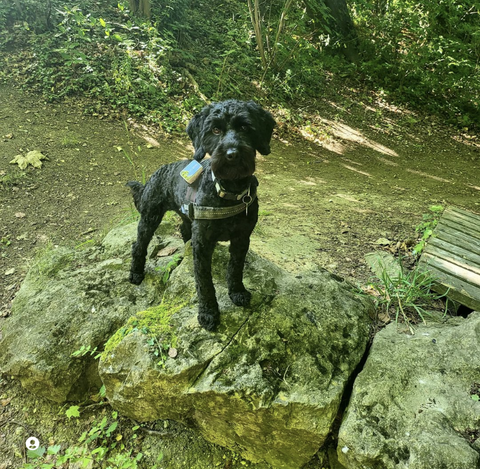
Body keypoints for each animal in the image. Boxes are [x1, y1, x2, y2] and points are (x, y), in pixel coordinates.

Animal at [125, 100, 276, 330]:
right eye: (215, 130)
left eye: (245, 127)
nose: (232, 154)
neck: (227, 192)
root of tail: (159, 170)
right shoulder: (203, 244)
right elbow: (204, 281)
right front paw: (208, 312)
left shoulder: (242, 238)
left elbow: (236, 267)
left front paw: (237, 291)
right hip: (150, 217)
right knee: (139, 244)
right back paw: (135, 272)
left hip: (187, 217)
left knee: (184, 229)